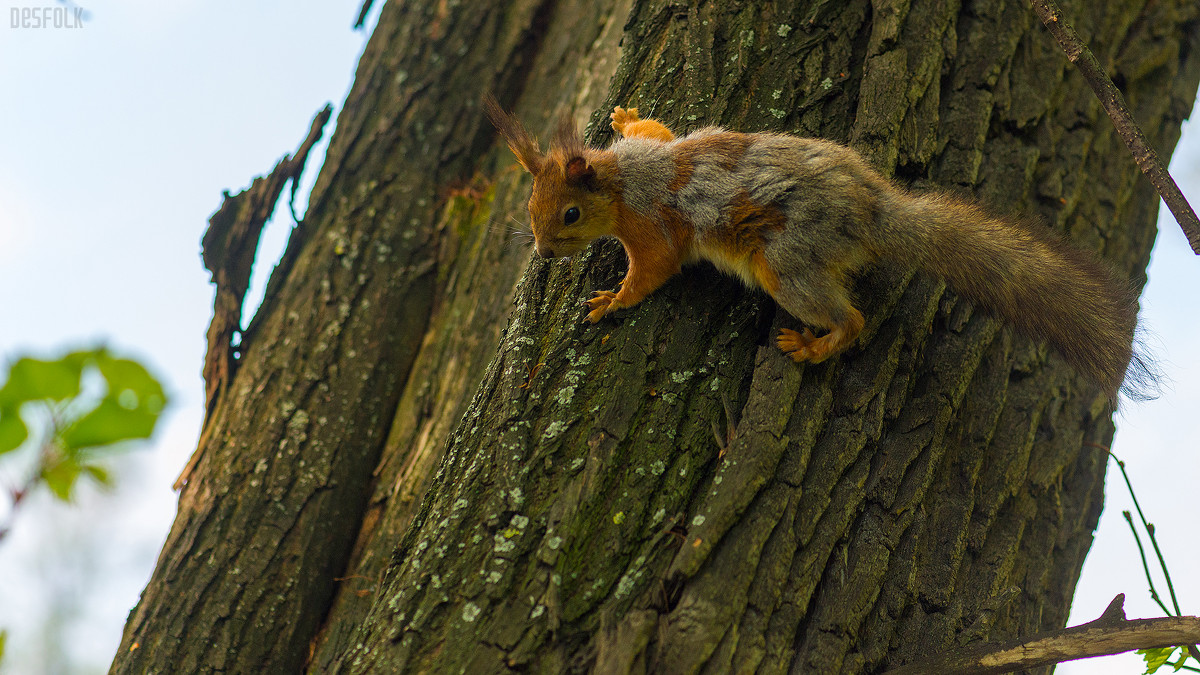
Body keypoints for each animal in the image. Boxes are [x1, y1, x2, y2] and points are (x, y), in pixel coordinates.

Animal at [482, 97, 1137, 396]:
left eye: (569, 214)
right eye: (531, 209)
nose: (543, 252)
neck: (621, 182)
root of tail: (870, 216)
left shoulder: (652, 230)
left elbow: (655, 271)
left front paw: (614, 299)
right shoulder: (653, 146)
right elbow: (653, 128)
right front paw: (624, 113)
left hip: (785, 266)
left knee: (852, 319)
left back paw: (814, 346)